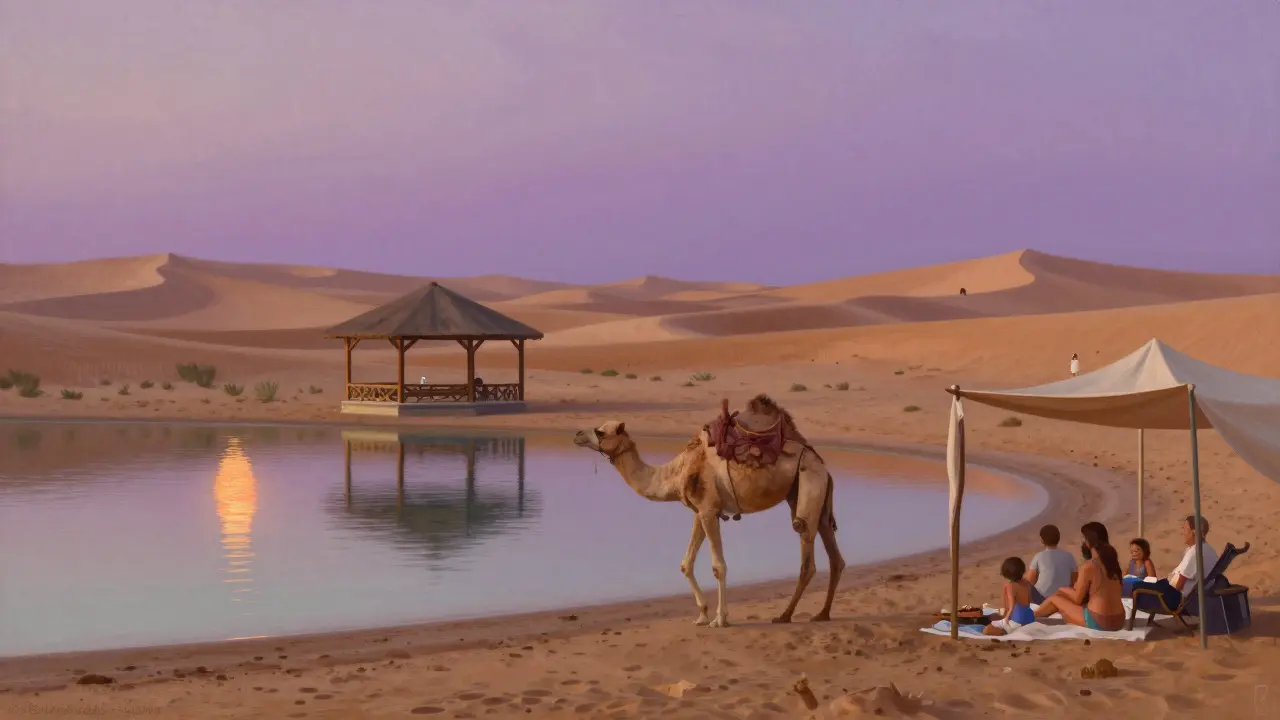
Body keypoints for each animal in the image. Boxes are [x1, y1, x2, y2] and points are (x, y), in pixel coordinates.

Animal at [573, 395, 844, 629]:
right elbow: (686, 563)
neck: (677, 472)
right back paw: (822, 614)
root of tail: (821, 463)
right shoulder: (700, 512)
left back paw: (785, 615)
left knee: (805, 544)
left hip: (809, 481)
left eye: (600, 431)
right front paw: (702, 615)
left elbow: (718, 566)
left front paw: (720, 619)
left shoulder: (708, 509)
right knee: (834, 554)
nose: (577, 434)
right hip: (809, 494)